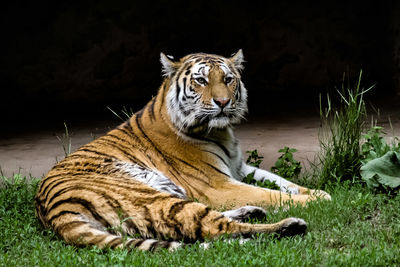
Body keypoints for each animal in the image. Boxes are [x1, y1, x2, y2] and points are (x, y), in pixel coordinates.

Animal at [34, 50, 330, 253]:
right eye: (201, 80)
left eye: (228, 79)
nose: (223, 102)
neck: (221, 132)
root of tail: (54, 212)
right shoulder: (216, 184)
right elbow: (270, 193)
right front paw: (319, 200)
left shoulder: (239, 168)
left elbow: (281, 182)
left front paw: (317, 192)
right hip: (154, 198)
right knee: (215, 229)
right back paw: (289, 226)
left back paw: (251, 212)